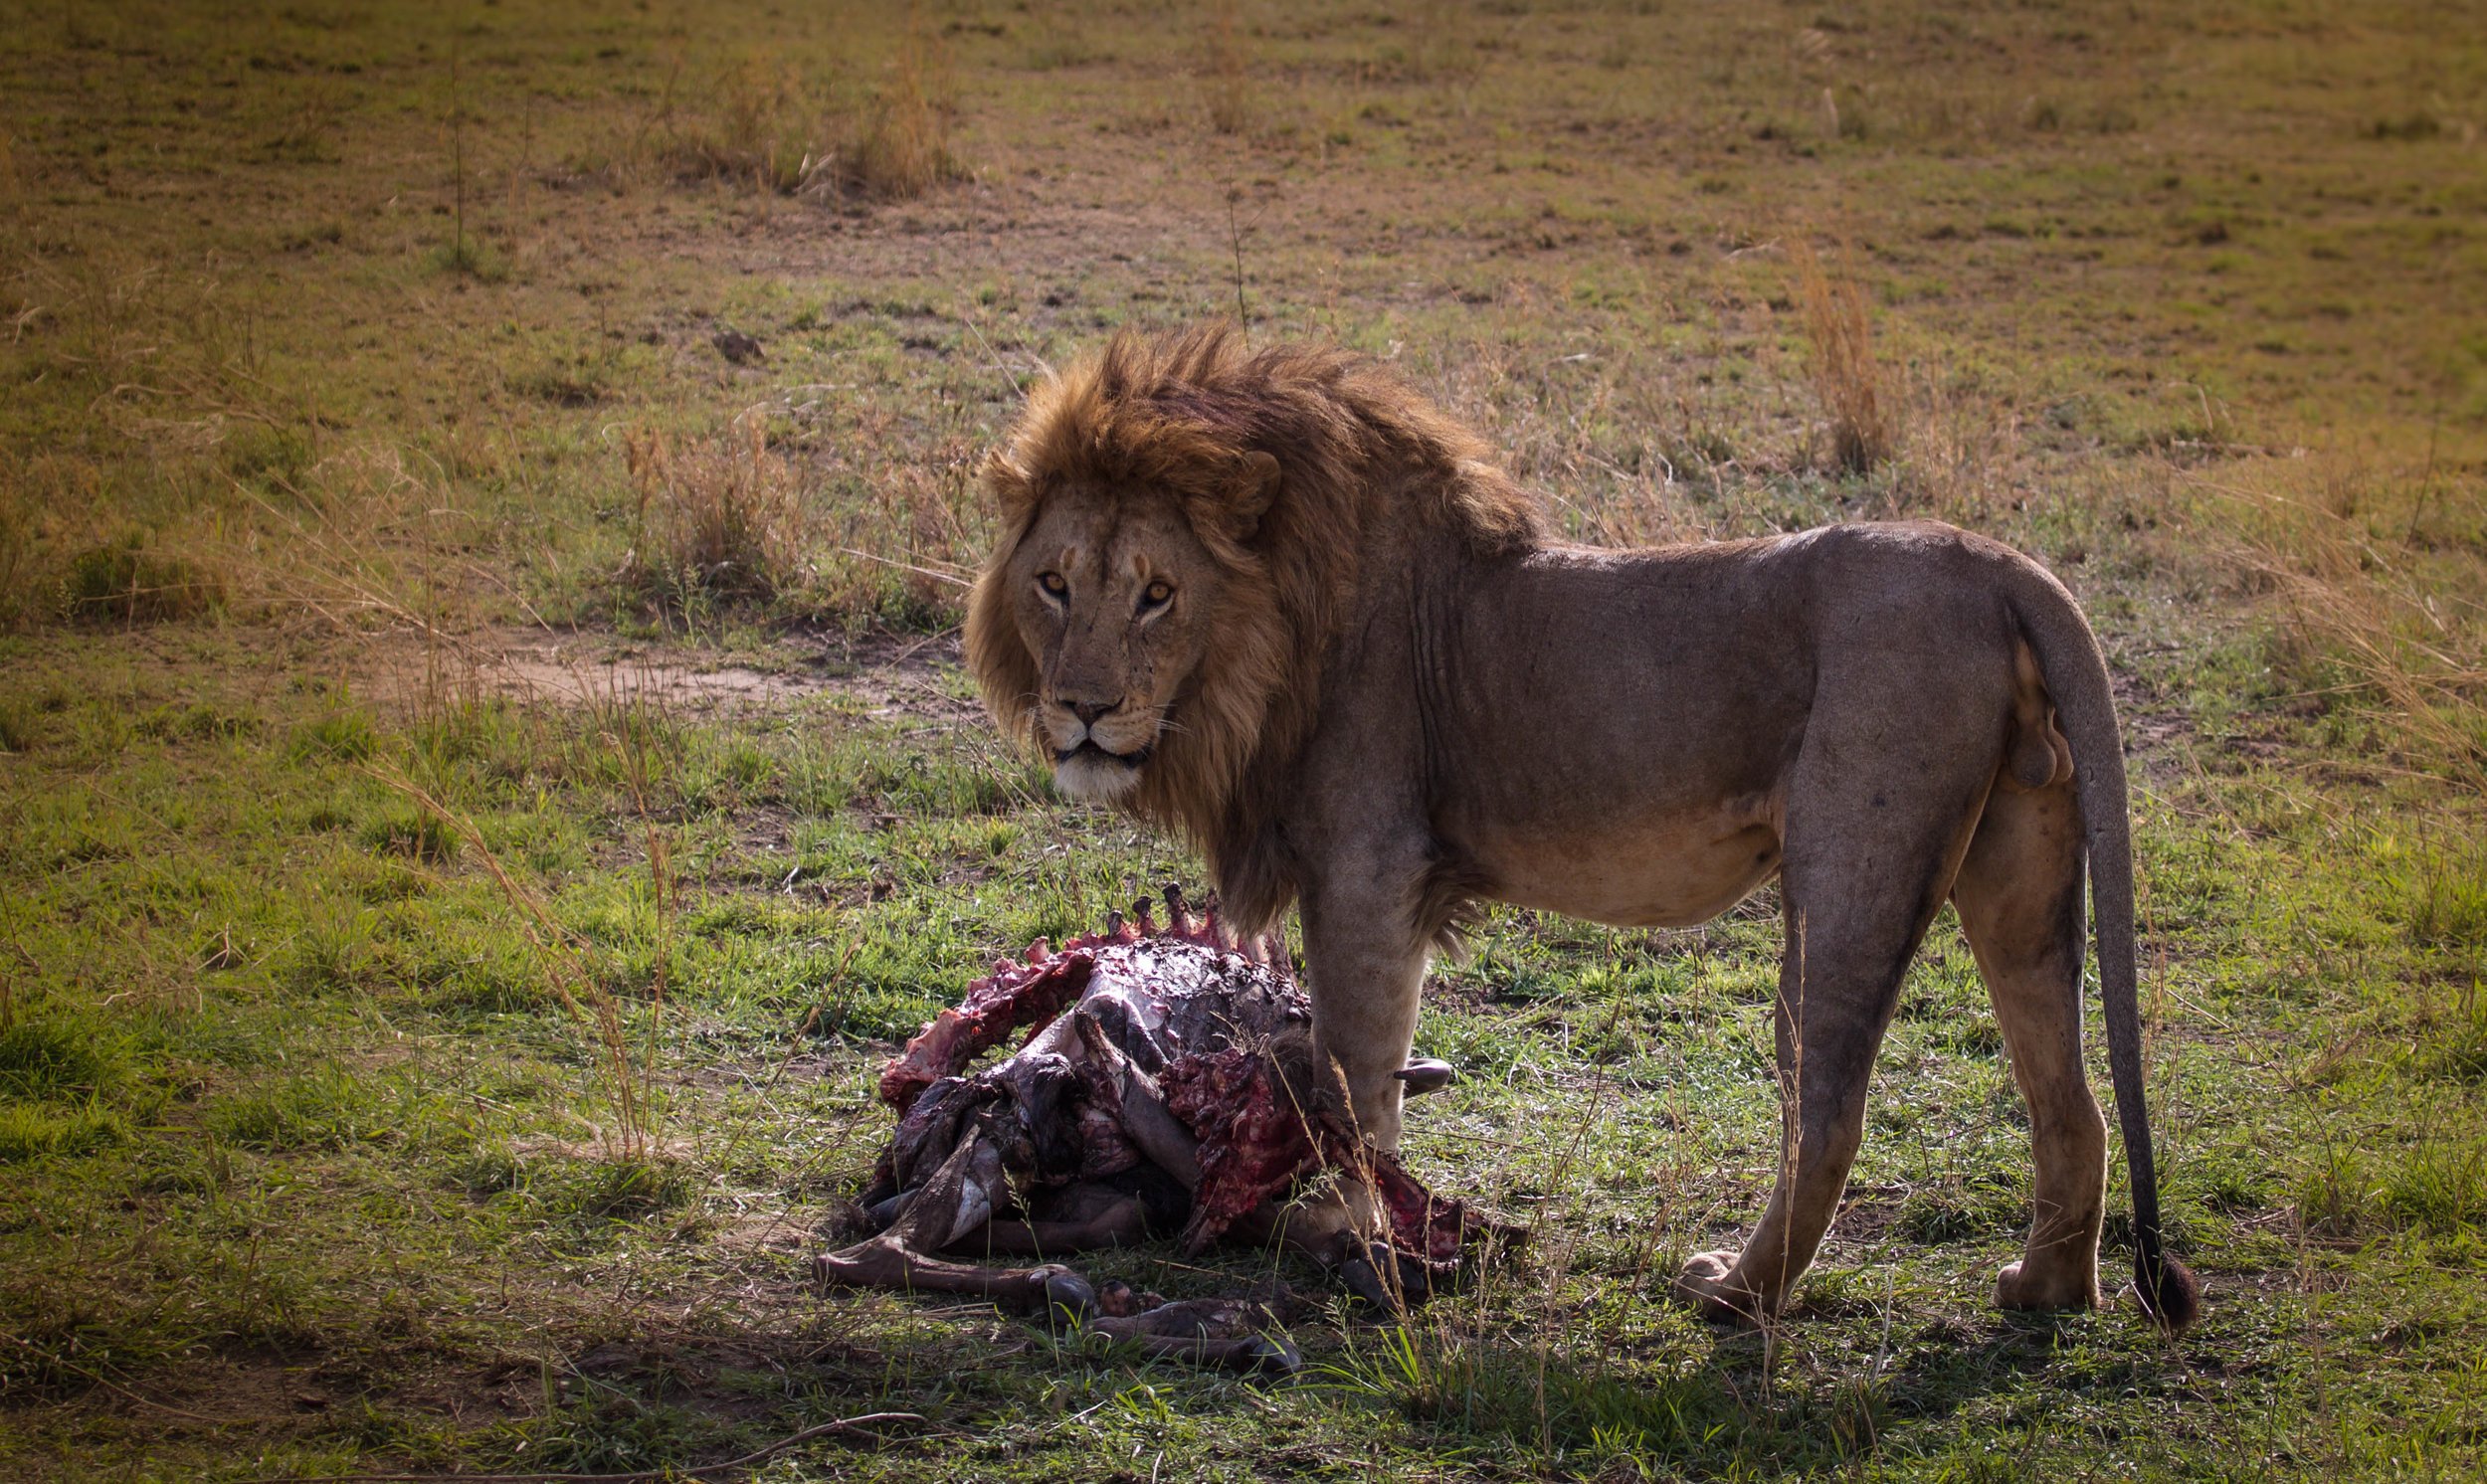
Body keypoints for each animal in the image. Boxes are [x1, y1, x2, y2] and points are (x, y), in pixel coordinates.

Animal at [963, 322, 2200, 1330]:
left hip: (1852, 873)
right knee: (2069, 1097)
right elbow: (1365, 1067)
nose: (1081, 710)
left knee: (1828, 1112)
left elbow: (1353, 1069)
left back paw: (1735, 1291)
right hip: (2021, 866)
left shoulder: (1367, 864)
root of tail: (2004, 566)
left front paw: (1346, 1235)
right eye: (1055, 583)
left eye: (1156, 593)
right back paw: (2044, 1289)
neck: (1260, 645)